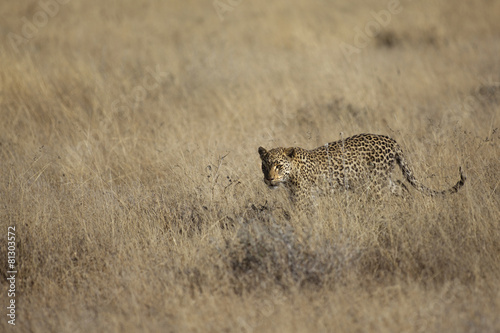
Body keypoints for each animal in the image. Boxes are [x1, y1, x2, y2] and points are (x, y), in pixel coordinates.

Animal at [260, 132, 466, 205]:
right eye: (265, 166)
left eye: (278, 166)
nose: (269, 179)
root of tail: (391, 140)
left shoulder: (302, 197)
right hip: (378, 180)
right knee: (401, 186)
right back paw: (408, 208)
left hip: (374, 184)